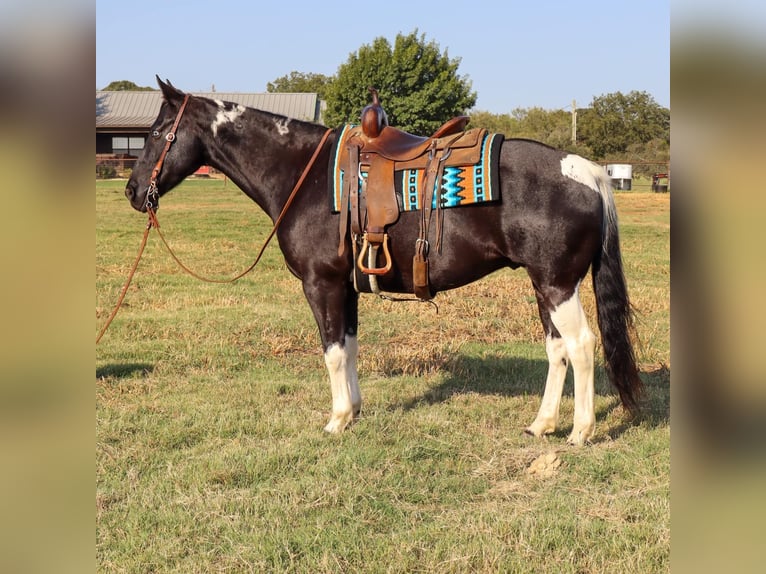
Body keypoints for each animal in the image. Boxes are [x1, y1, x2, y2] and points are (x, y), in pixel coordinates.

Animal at [124, 77, 642, 445]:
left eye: (156, 133)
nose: (131, 191)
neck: (304, 175)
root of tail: (589, 172)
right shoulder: (346, 287)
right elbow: (350, 349)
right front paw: (353, 411)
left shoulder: (322, 284)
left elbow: (332, 352)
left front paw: (336, 420)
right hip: (544, 286)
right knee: (557, 350)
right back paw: (542, 424)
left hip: (558, 284)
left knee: (581, 346)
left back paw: (579, 431)